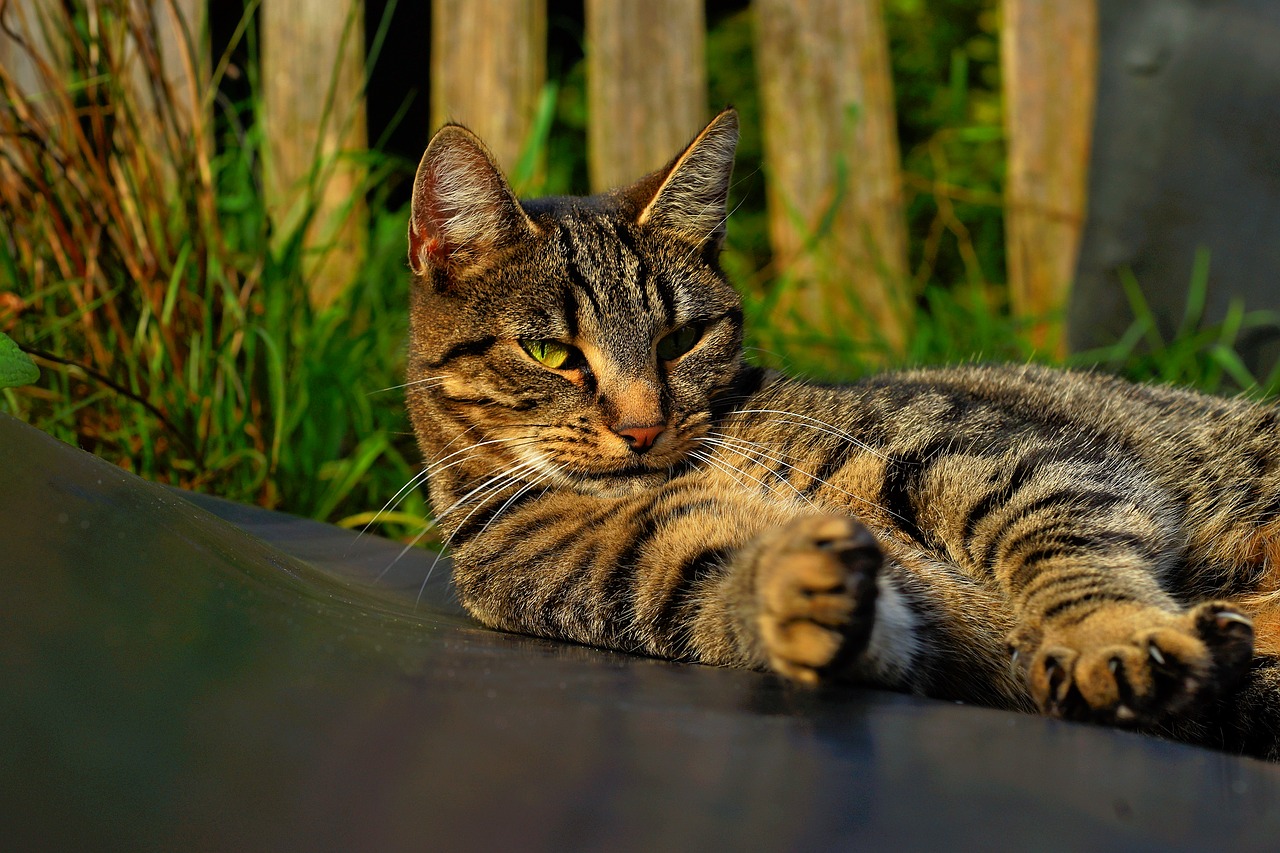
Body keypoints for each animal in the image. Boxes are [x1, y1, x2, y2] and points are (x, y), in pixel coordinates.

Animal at [404, 108, 1280, 758]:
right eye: (551, 353)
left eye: (680, 339)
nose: (645, 426)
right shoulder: (666, 579)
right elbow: (777, 603)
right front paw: (790, 581)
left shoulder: (998, 454)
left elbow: (1064, 552)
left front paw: (1116, 637)